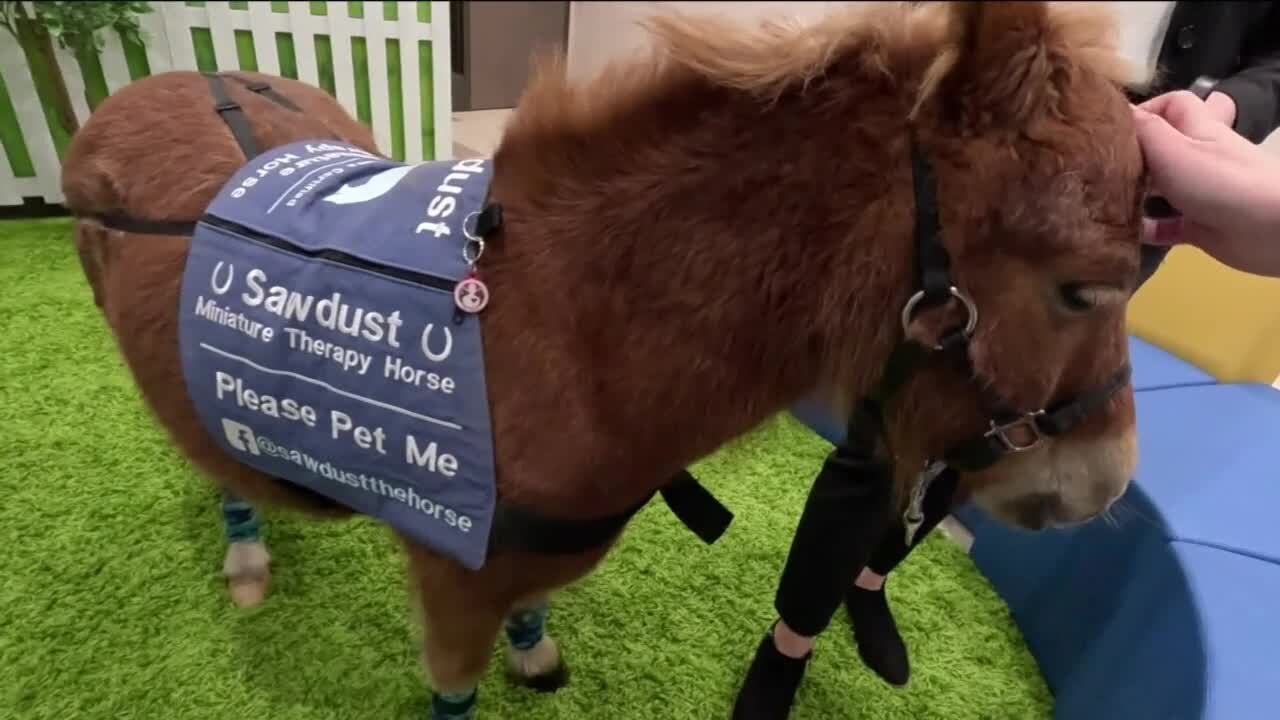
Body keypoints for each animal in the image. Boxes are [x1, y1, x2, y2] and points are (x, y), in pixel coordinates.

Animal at [60, 0, 1146, 712]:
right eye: (1079, 288)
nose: (1102, 488)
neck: (564, 329)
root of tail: (165, 78)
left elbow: (532, 612)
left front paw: (535, 654)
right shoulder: (450, 590)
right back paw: (245, 546)